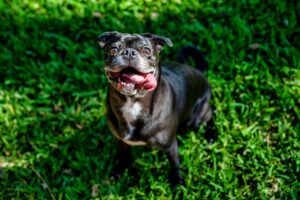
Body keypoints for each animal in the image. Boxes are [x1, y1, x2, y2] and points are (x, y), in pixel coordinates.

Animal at [98, 31, 211, 188]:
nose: (129, 52)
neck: (133, 103)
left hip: (197, 117)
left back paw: (211, 136)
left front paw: (177, 183)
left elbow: (175, 164)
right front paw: (120, 170)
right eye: (113, 49)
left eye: (146, 51)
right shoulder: (120, 140)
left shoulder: (170, 145)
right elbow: (124, 155)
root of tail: (197, 71)